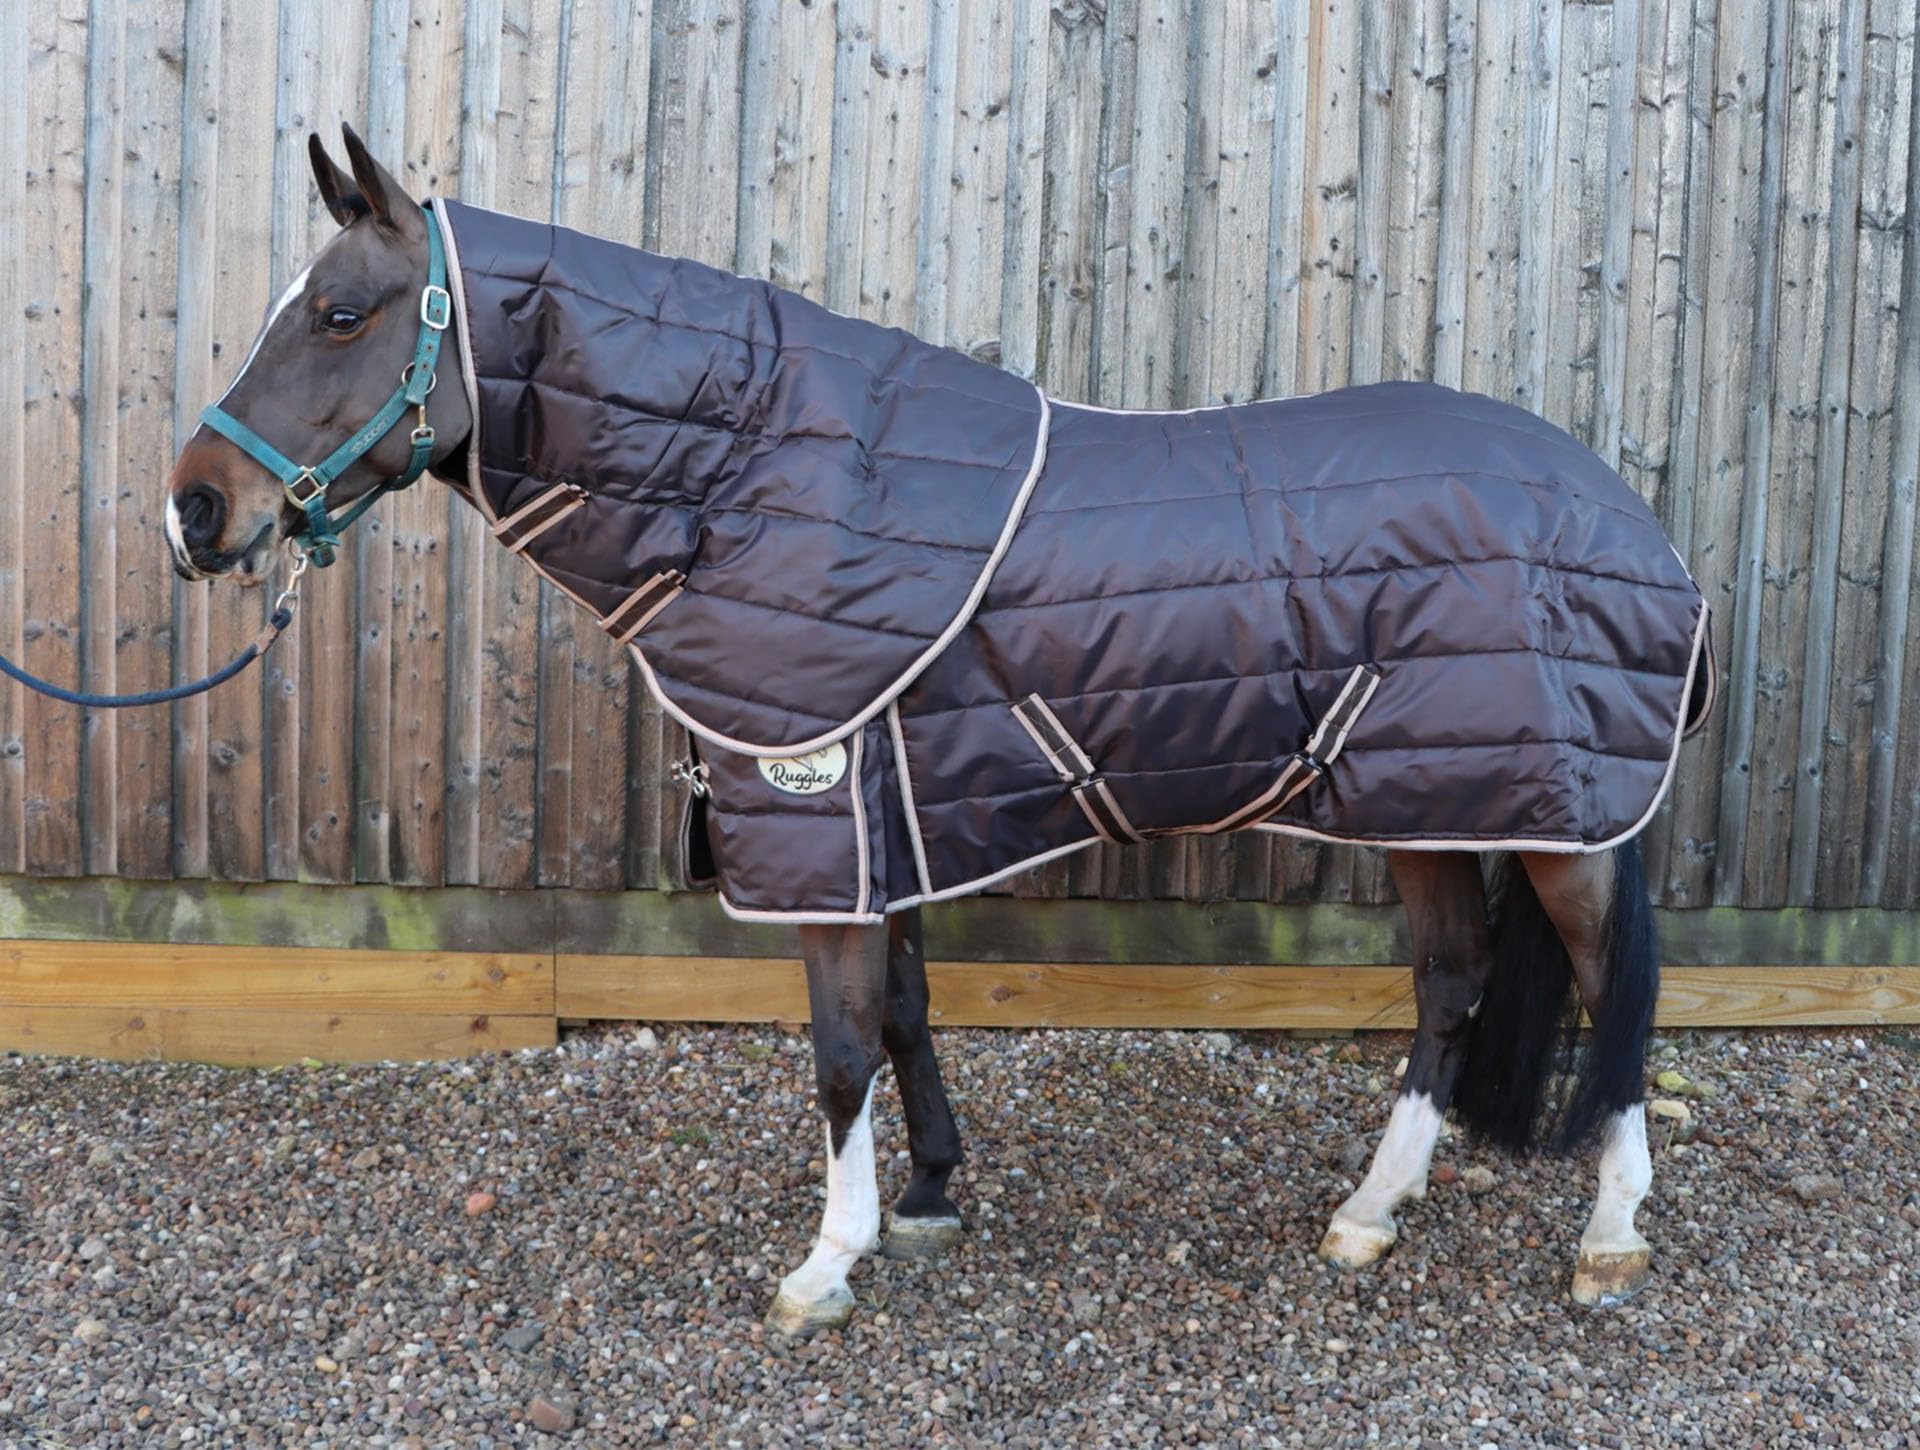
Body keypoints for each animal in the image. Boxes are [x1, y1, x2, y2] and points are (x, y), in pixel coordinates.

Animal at [166, 126, 1713, 1335]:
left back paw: (1608, 1239)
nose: (194, 512)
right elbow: (906, 1010)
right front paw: (925, 1192)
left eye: (343, 313)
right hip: (1433, 800)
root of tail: (1631, 521)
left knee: (1612, 989)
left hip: (1557, 822)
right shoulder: (877, 812)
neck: (751, 473)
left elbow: (840, 1048)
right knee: (1452, 984)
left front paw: (825, 1262)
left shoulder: (822, 816)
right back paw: (1368, 1215)